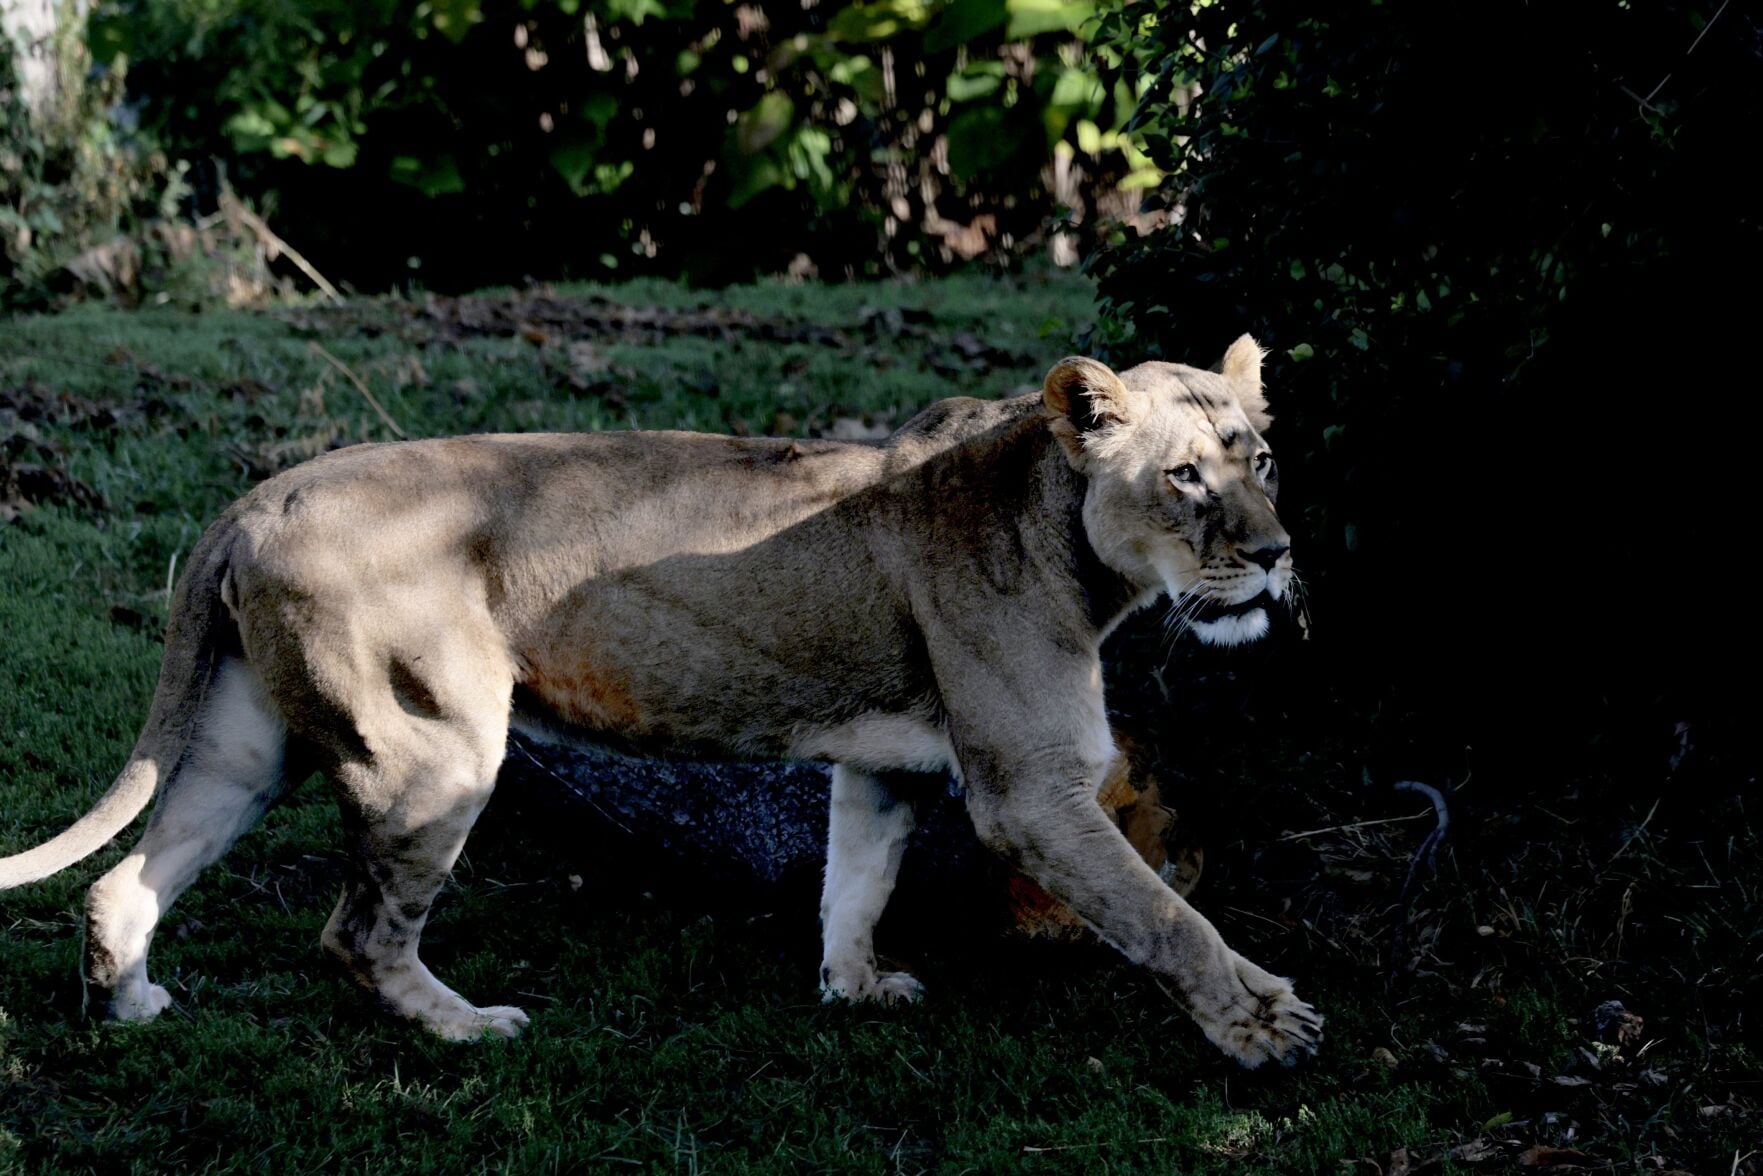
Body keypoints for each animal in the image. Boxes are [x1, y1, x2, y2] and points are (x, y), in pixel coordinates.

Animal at [0, 337, 1320, 1068]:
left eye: (1260, 458)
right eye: (1184, 477)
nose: (1273, 553)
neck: (1057, 522)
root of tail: (254, 497)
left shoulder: (885, 762)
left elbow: (857, 878)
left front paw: (851, 990)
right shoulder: (1028, 790)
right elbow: (1162, 914)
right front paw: (1261, 1027)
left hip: (249, 742)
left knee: (125, 879)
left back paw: (131, 1004)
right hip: (431, 748)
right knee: (355, 934)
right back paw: (467, 1028)